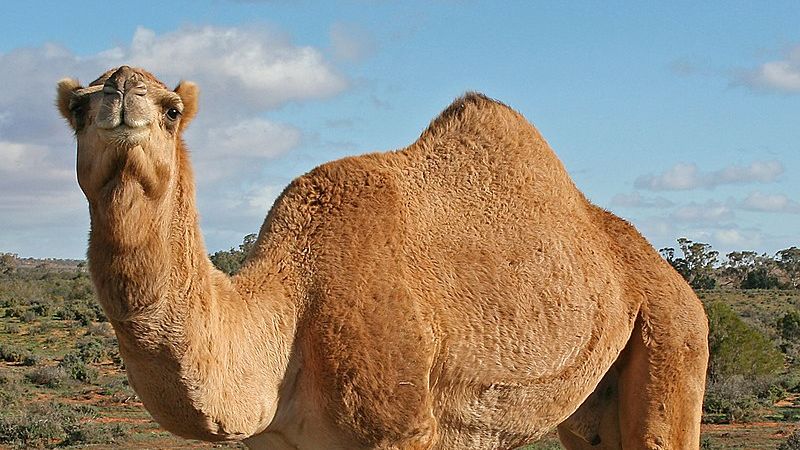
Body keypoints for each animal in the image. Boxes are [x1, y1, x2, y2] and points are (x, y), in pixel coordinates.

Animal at [56, 66, 708, 449]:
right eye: (78, 108)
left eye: (171, 109)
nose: (121, 89)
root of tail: (676, 283)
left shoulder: (400, 427)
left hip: (672, 336)